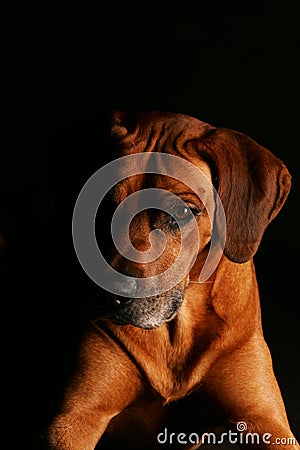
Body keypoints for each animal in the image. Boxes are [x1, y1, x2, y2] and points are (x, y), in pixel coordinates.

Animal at [46, 111, 298, 446]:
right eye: (102, 203)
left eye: (183, 210)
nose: (111, 295)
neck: (175, 328)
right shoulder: (74, 420)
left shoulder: (265, 419)